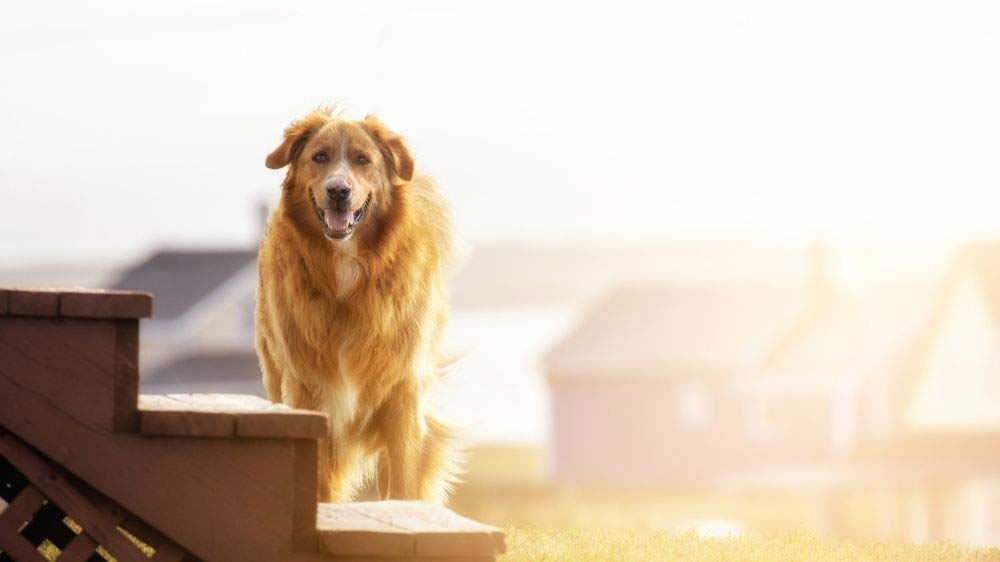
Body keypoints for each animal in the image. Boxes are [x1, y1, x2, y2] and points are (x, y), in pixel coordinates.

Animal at [258, 107, 460, 500]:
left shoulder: (402, 393)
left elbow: (402, 484)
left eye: (362, 160)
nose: (339, 191)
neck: (348, 269)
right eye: (320, 157)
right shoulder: (306, 389)